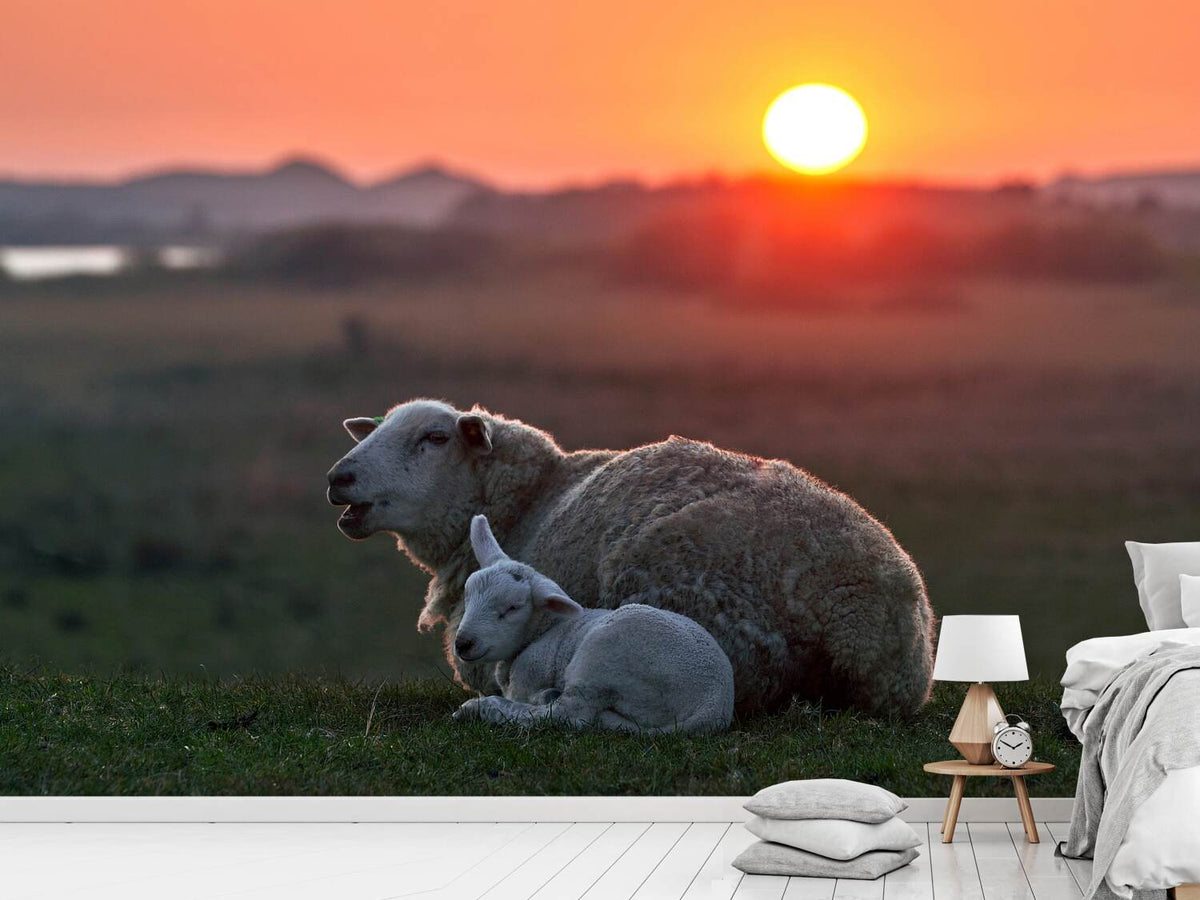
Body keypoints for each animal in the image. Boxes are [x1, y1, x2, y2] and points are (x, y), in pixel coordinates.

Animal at [450, 515, 735, 732]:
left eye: (512, 608)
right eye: (467, 595)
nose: (463, 643)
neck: (542, 632)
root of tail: (712, 705)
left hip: (601, 658)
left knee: (568, 715)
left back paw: (481, 708)